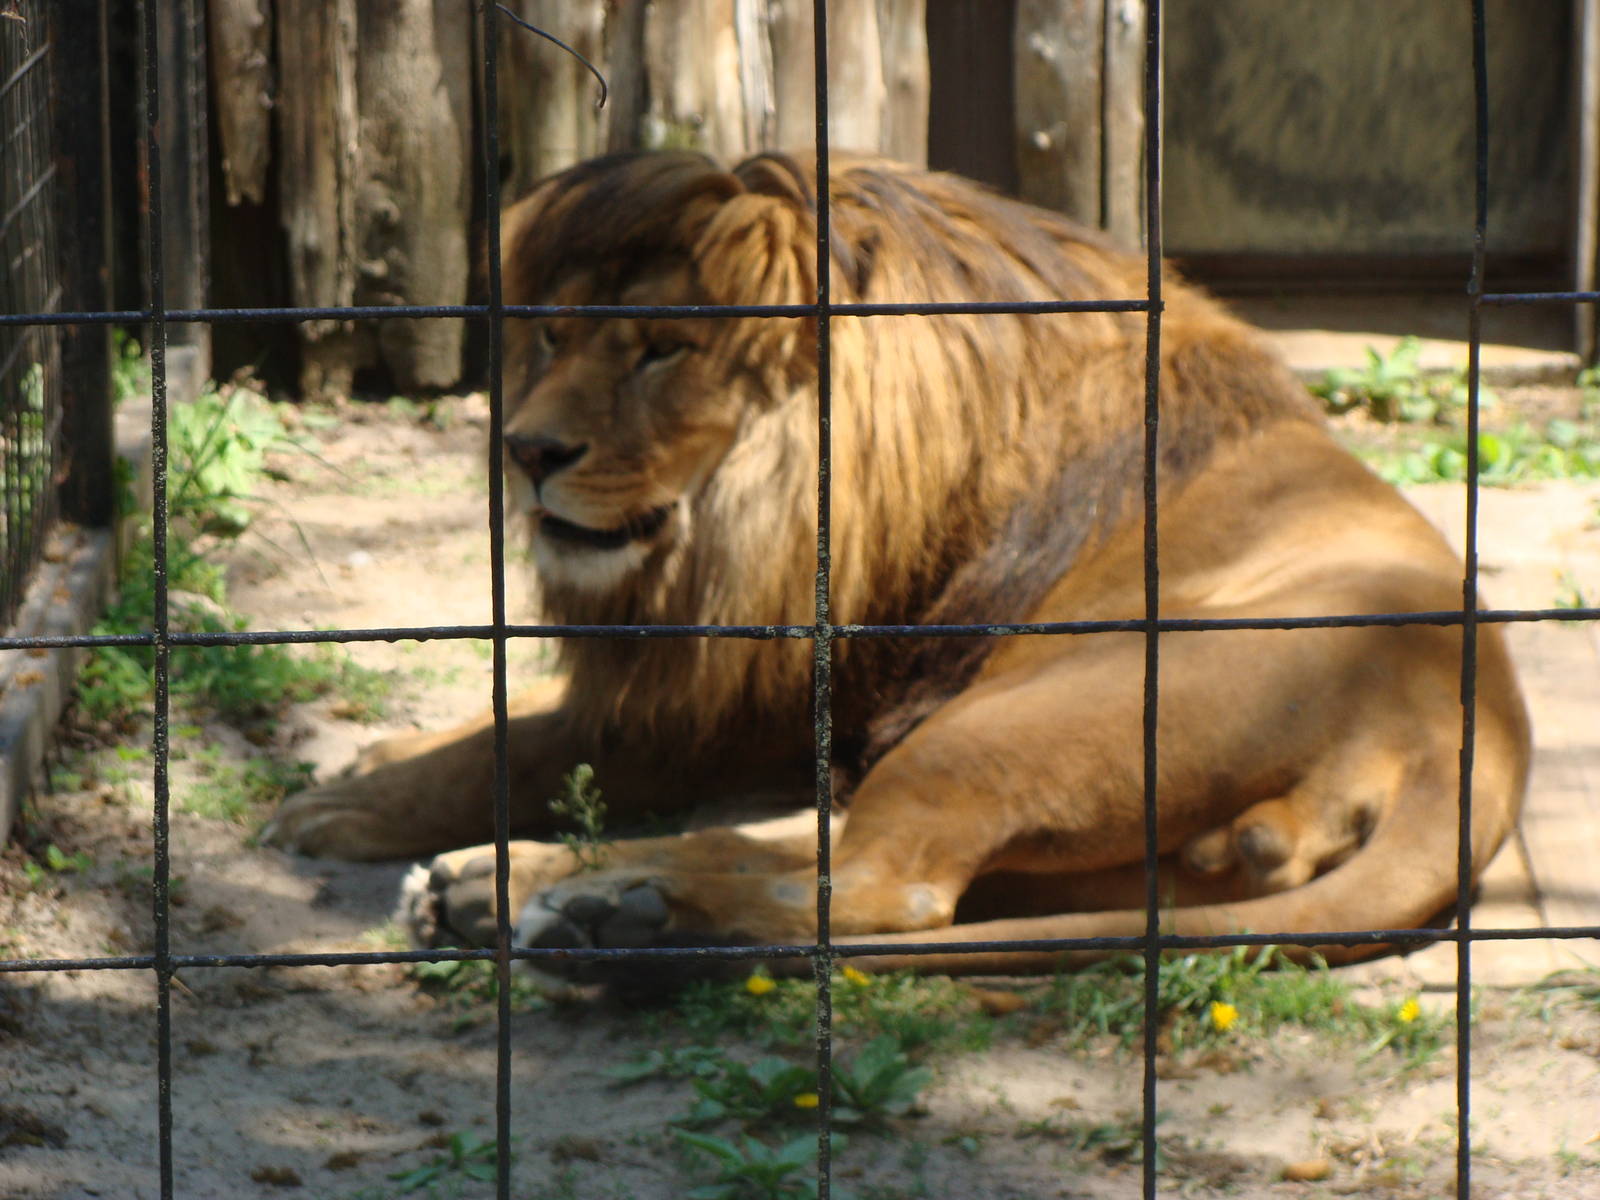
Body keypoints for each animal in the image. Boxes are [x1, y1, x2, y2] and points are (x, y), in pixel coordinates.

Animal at [266, 150, 1530, 977]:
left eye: (665, 349)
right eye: (551, 334)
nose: (526, 451)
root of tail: (1473, 732)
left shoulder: (774, 677)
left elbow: (551, 737)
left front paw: (345, 802)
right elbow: (539, 725)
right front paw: (375, 759)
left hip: (1016, 721)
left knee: (887, 887)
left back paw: (600, 910)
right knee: (855, 854)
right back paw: (539, 890)